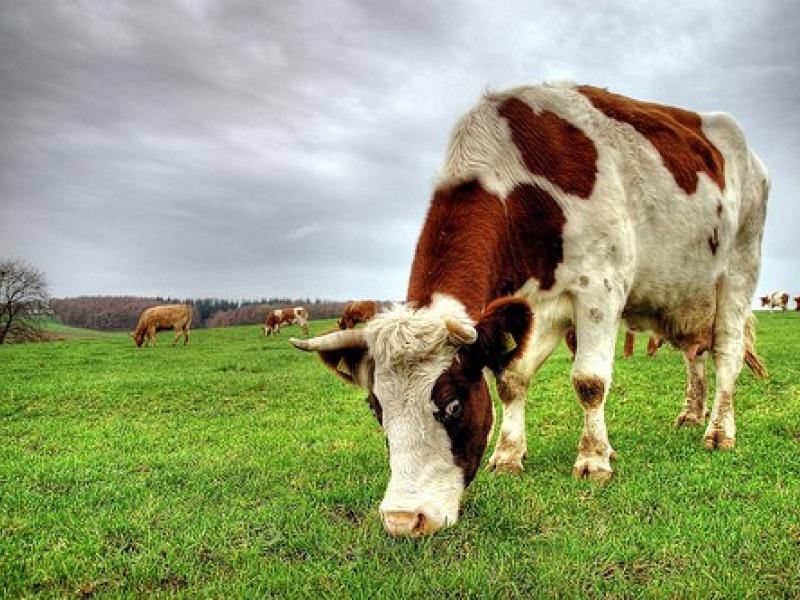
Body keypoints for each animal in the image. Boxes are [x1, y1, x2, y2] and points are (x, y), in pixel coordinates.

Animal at [290, 82, 768, 536]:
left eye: (453, 405)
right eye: (377, 408)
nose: (404, 520)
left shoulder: (600, 288)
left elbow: (589, 382)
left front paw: (594, 459)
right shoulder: (534, 307)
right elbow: (511, 380)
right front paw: (508, 455)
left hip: (738, 272)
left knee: (725, 354)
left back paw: (718, 431)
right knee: (694, 355)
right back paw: (690, 414)